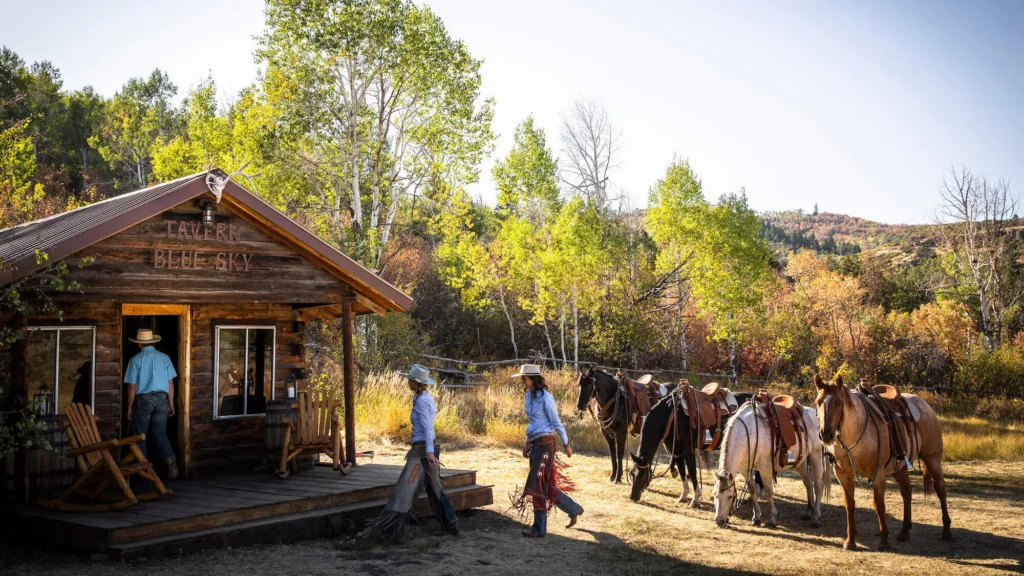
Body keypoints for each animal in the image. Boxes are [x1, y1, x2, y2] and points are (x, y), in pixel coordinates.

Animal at [815, 375, 950, 549]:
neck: (857, 432)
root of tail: (925, 404)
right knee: (907, 492)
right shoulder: (843, 475)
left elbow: (879, 505)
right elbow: (849, 505)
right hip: (899, 468)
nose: (826, 435)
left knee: (941, 489)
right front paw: (850, 541)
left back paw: (947, 531)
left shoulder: (878, 474)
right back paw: (904, 532)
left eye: (838, 402)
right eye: (817, 401)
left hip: (932, 459)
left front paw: (884, 541)